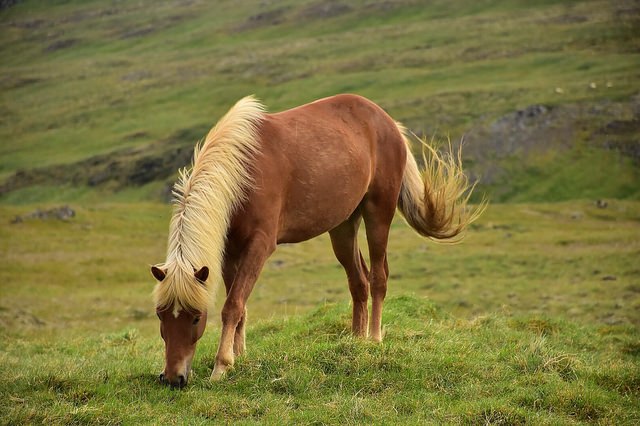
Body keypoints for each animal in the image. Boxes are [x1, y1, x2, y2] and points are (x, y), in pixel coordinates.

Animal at [150, 94, 484, 388]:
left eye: (196, 318)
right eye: (160, 315)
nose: (173, 378)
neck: (242, 172)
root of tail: (389, 123)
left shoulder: (259, 246)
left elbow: (232, 305)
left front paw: (222, 366)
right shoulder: (231, 251)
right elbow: (240, 305)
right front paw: (239, 356)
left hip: (378, 213)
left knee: (378, 277)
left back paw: (375, 338)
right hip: (343, 226)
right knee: (358, 282)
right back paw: (355, 340)